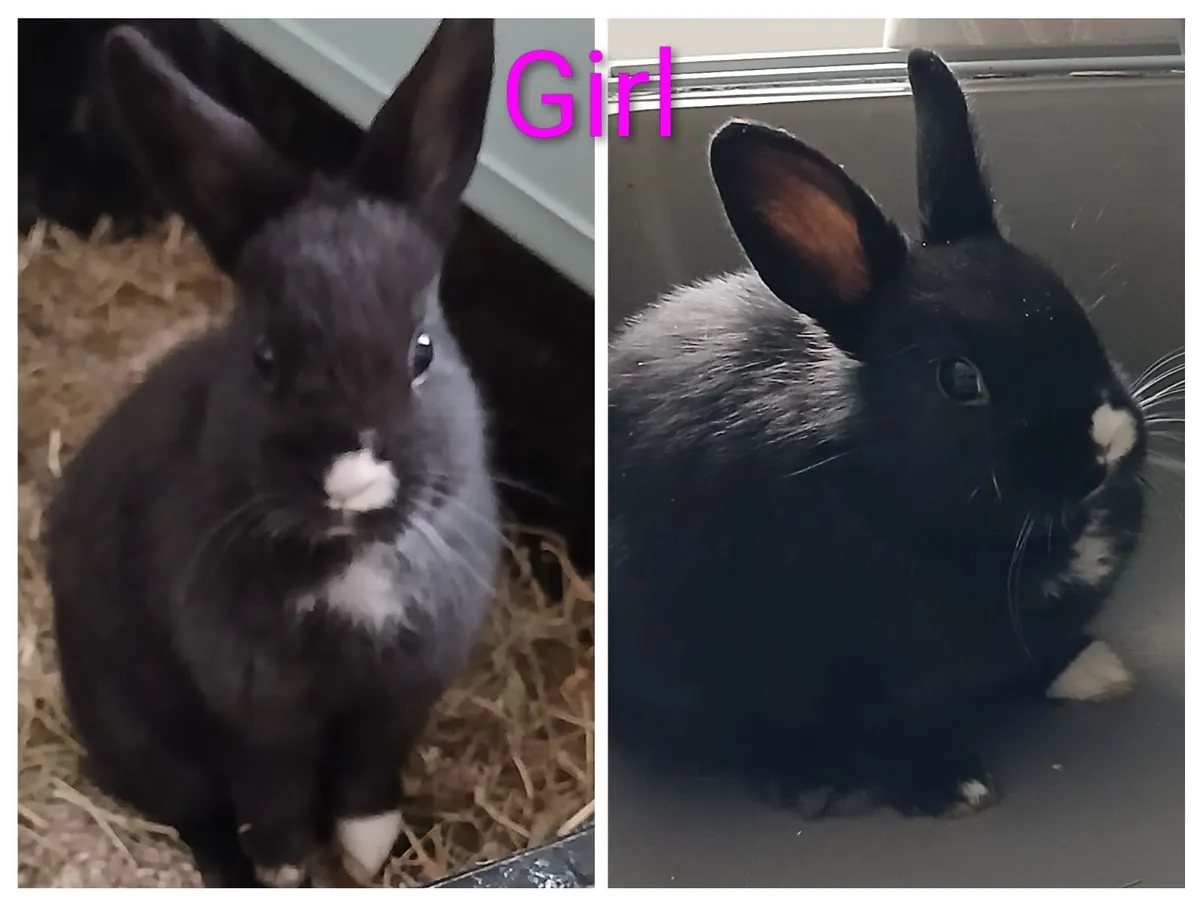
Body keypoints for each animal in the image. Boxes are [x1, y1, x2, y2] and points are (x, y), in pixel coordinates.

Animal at [44, 20, 501, 887]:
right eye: (263, 358)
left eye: (423, 350)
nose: (351, 484)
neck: (350, 561)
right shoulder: (256, 711)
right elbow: (274, 794)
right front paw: (292, 872)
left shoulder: (397, 696)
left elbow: (367, 778)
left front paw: (365, 856)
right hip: (141, 739)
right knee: (196, 815)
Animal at [608, 49, 1149, 819]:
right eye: (959, 379)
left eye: (1068, 303)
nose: (1109, 440)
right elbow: (883, 735)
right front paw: (953, 786)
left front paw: (1095, 672)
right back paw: (813, 780)